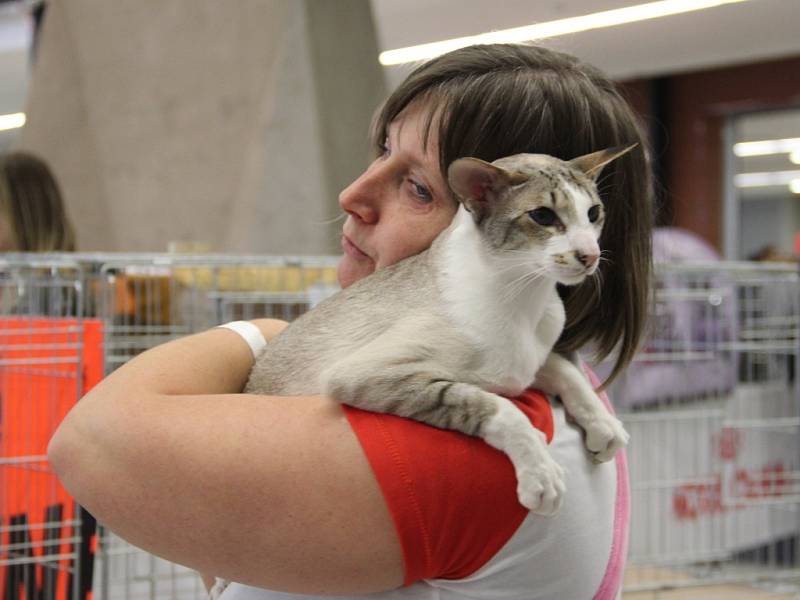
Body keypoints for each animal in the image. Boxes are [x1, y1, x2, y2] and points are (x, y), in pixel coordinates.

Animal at [244, 146, 632, 516]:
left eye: (593, 213)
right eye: (544, 216)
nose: (590, 256)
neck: (526, 301)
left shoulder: (521, 366)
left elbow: (564, 370)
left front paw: (604, 425)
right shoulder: (363, 373)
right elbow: (494, 405)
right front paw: (541, 471)